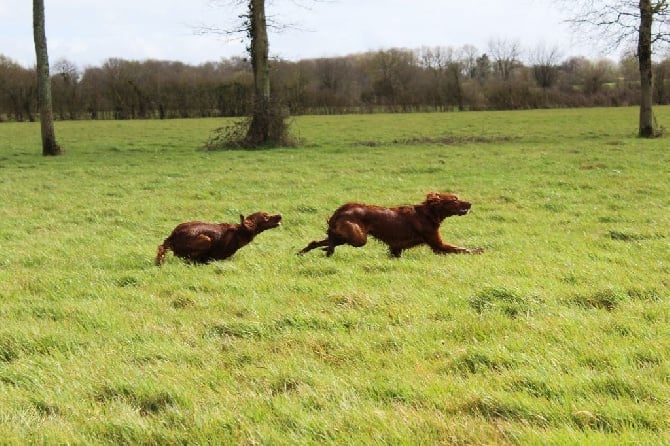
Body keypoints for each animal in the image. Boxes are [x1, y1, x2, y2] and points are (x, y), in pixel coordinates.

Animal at [300, 193, 484, 258]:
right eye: (454, 200)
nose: (470, 203)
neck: (429, 212)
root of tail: (344, 208)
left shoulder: (397, 247)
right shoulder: (438, 244)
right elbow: (461, 249)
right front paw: (477, 251)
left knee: (319, 240)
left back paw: (305, 252)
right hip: (359, 238)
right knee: (333, 237)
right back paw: (328, 250)